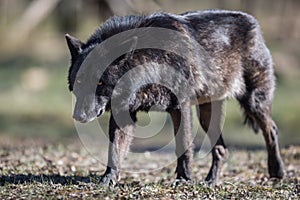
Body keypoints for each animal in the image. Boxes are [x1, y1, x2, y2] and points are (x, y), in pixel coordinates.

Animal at [65, 10, 284, 185]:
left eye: (100, 83)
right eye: (79, 81)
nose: (78, 116)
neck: (150, 59)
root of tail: (252, 21)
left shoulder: (181, 107)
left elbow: (183, 146)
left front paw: (184, 179)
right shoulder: (123, 112)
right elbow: (114, 150)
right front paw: (108, 179)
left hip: (253, 102)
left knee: (271, 129)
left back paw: (277, 171)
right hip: (207, 116)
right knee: (221, 149)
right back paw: (210, 181)